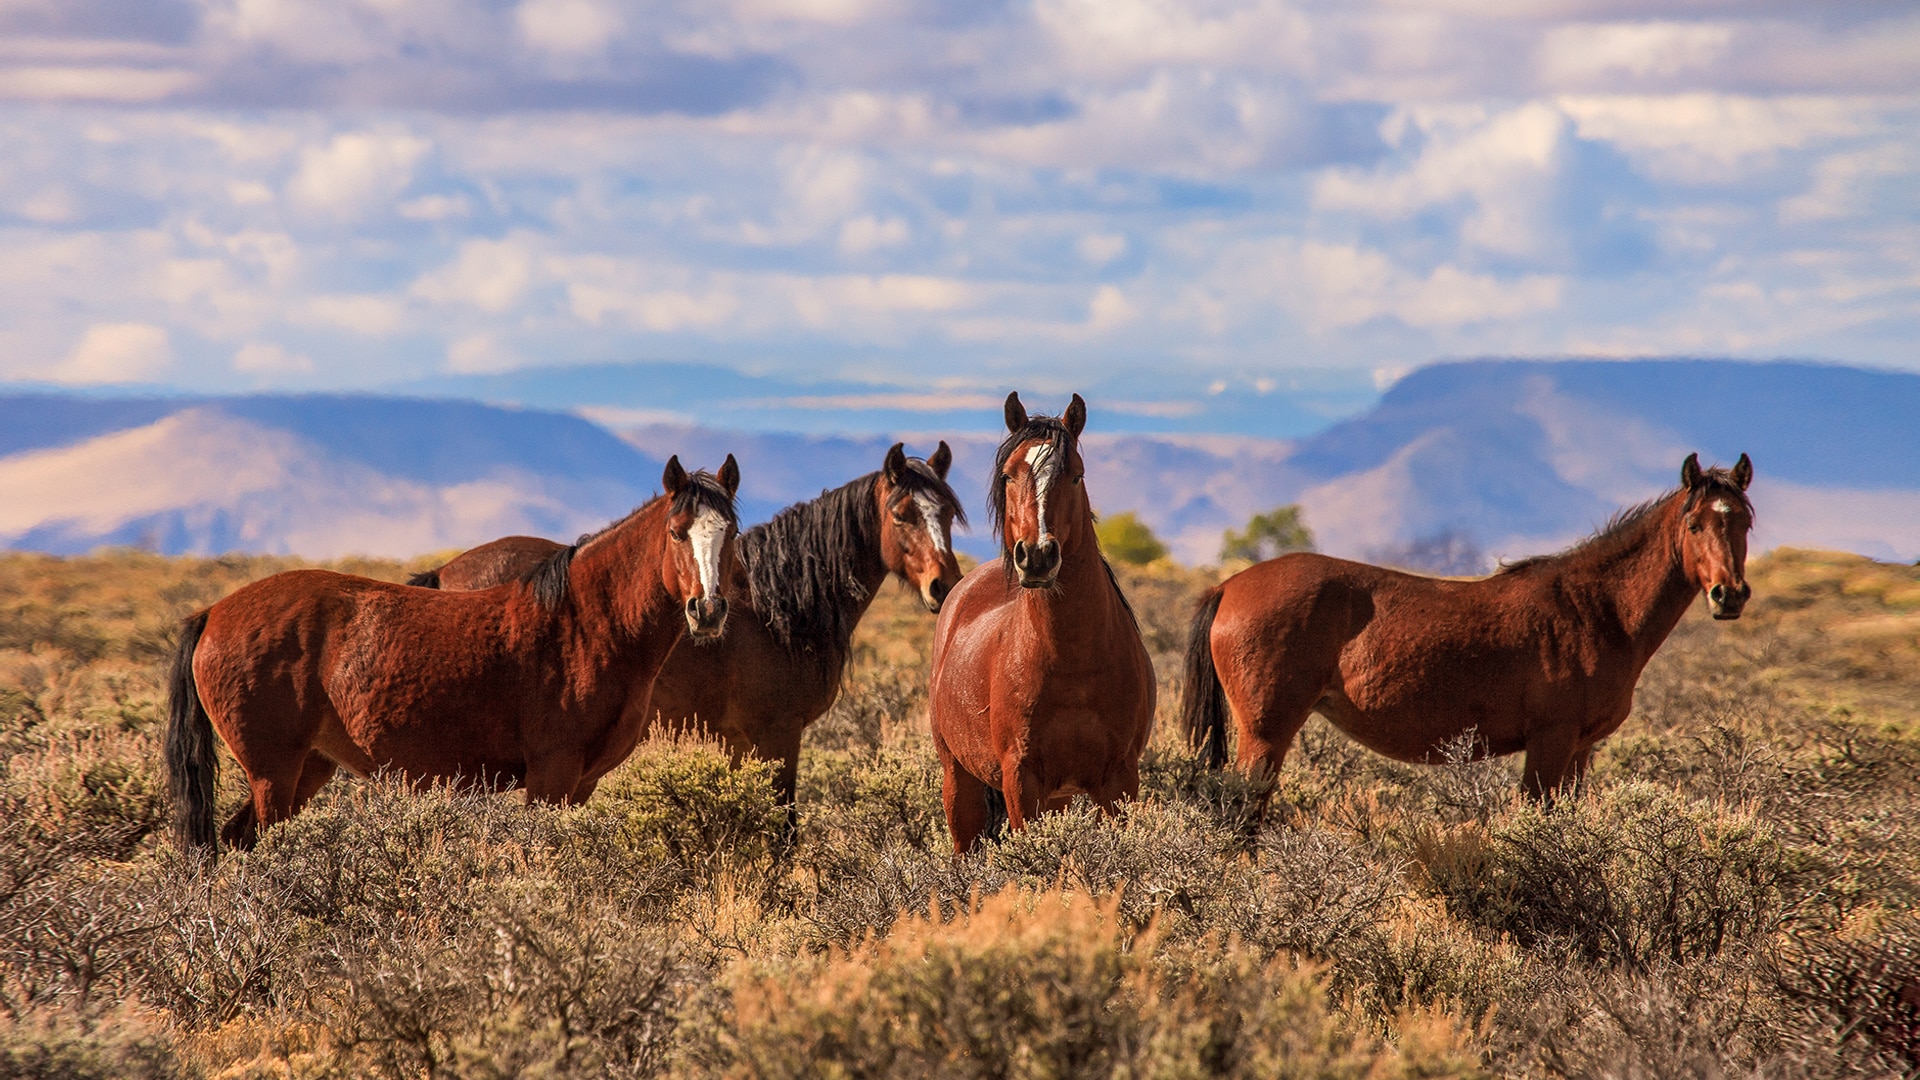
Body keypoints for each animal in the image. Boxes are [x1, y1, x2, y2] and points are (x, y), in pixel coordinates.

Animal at [166, 455, 742, 854]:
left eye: (731, 533)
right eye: (676, 533)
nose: (708, 609)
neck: (585, 623)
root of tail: (214, 612)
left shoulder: (582, 783)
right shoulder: (551, 776)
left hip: (309, 765)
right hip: (273, 772)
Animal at [413, 442, 966, 813]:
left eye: (947, 513)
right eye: (902, 514)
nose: (945, 585)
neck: (775, 610)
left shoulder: (739, 743)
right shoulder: (777, 735)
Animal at [927, 393, 1155, 854]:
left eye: (1076, 476)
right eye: (1009, 475)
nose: (1036, 556)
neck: (1073, 662)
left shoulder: (1119, 780)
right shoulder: (1021, 779)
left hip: (1059, 797)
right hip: (958, 781)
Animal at [1182, 453, 1754, 803]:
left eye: (1744, 522)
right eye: (1694, 524)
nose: (1729, 595)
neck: (1595, 609)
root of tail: (1229, 586)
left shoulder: (1580, 749)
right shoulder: (1550, 743)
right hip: (1265, 733)